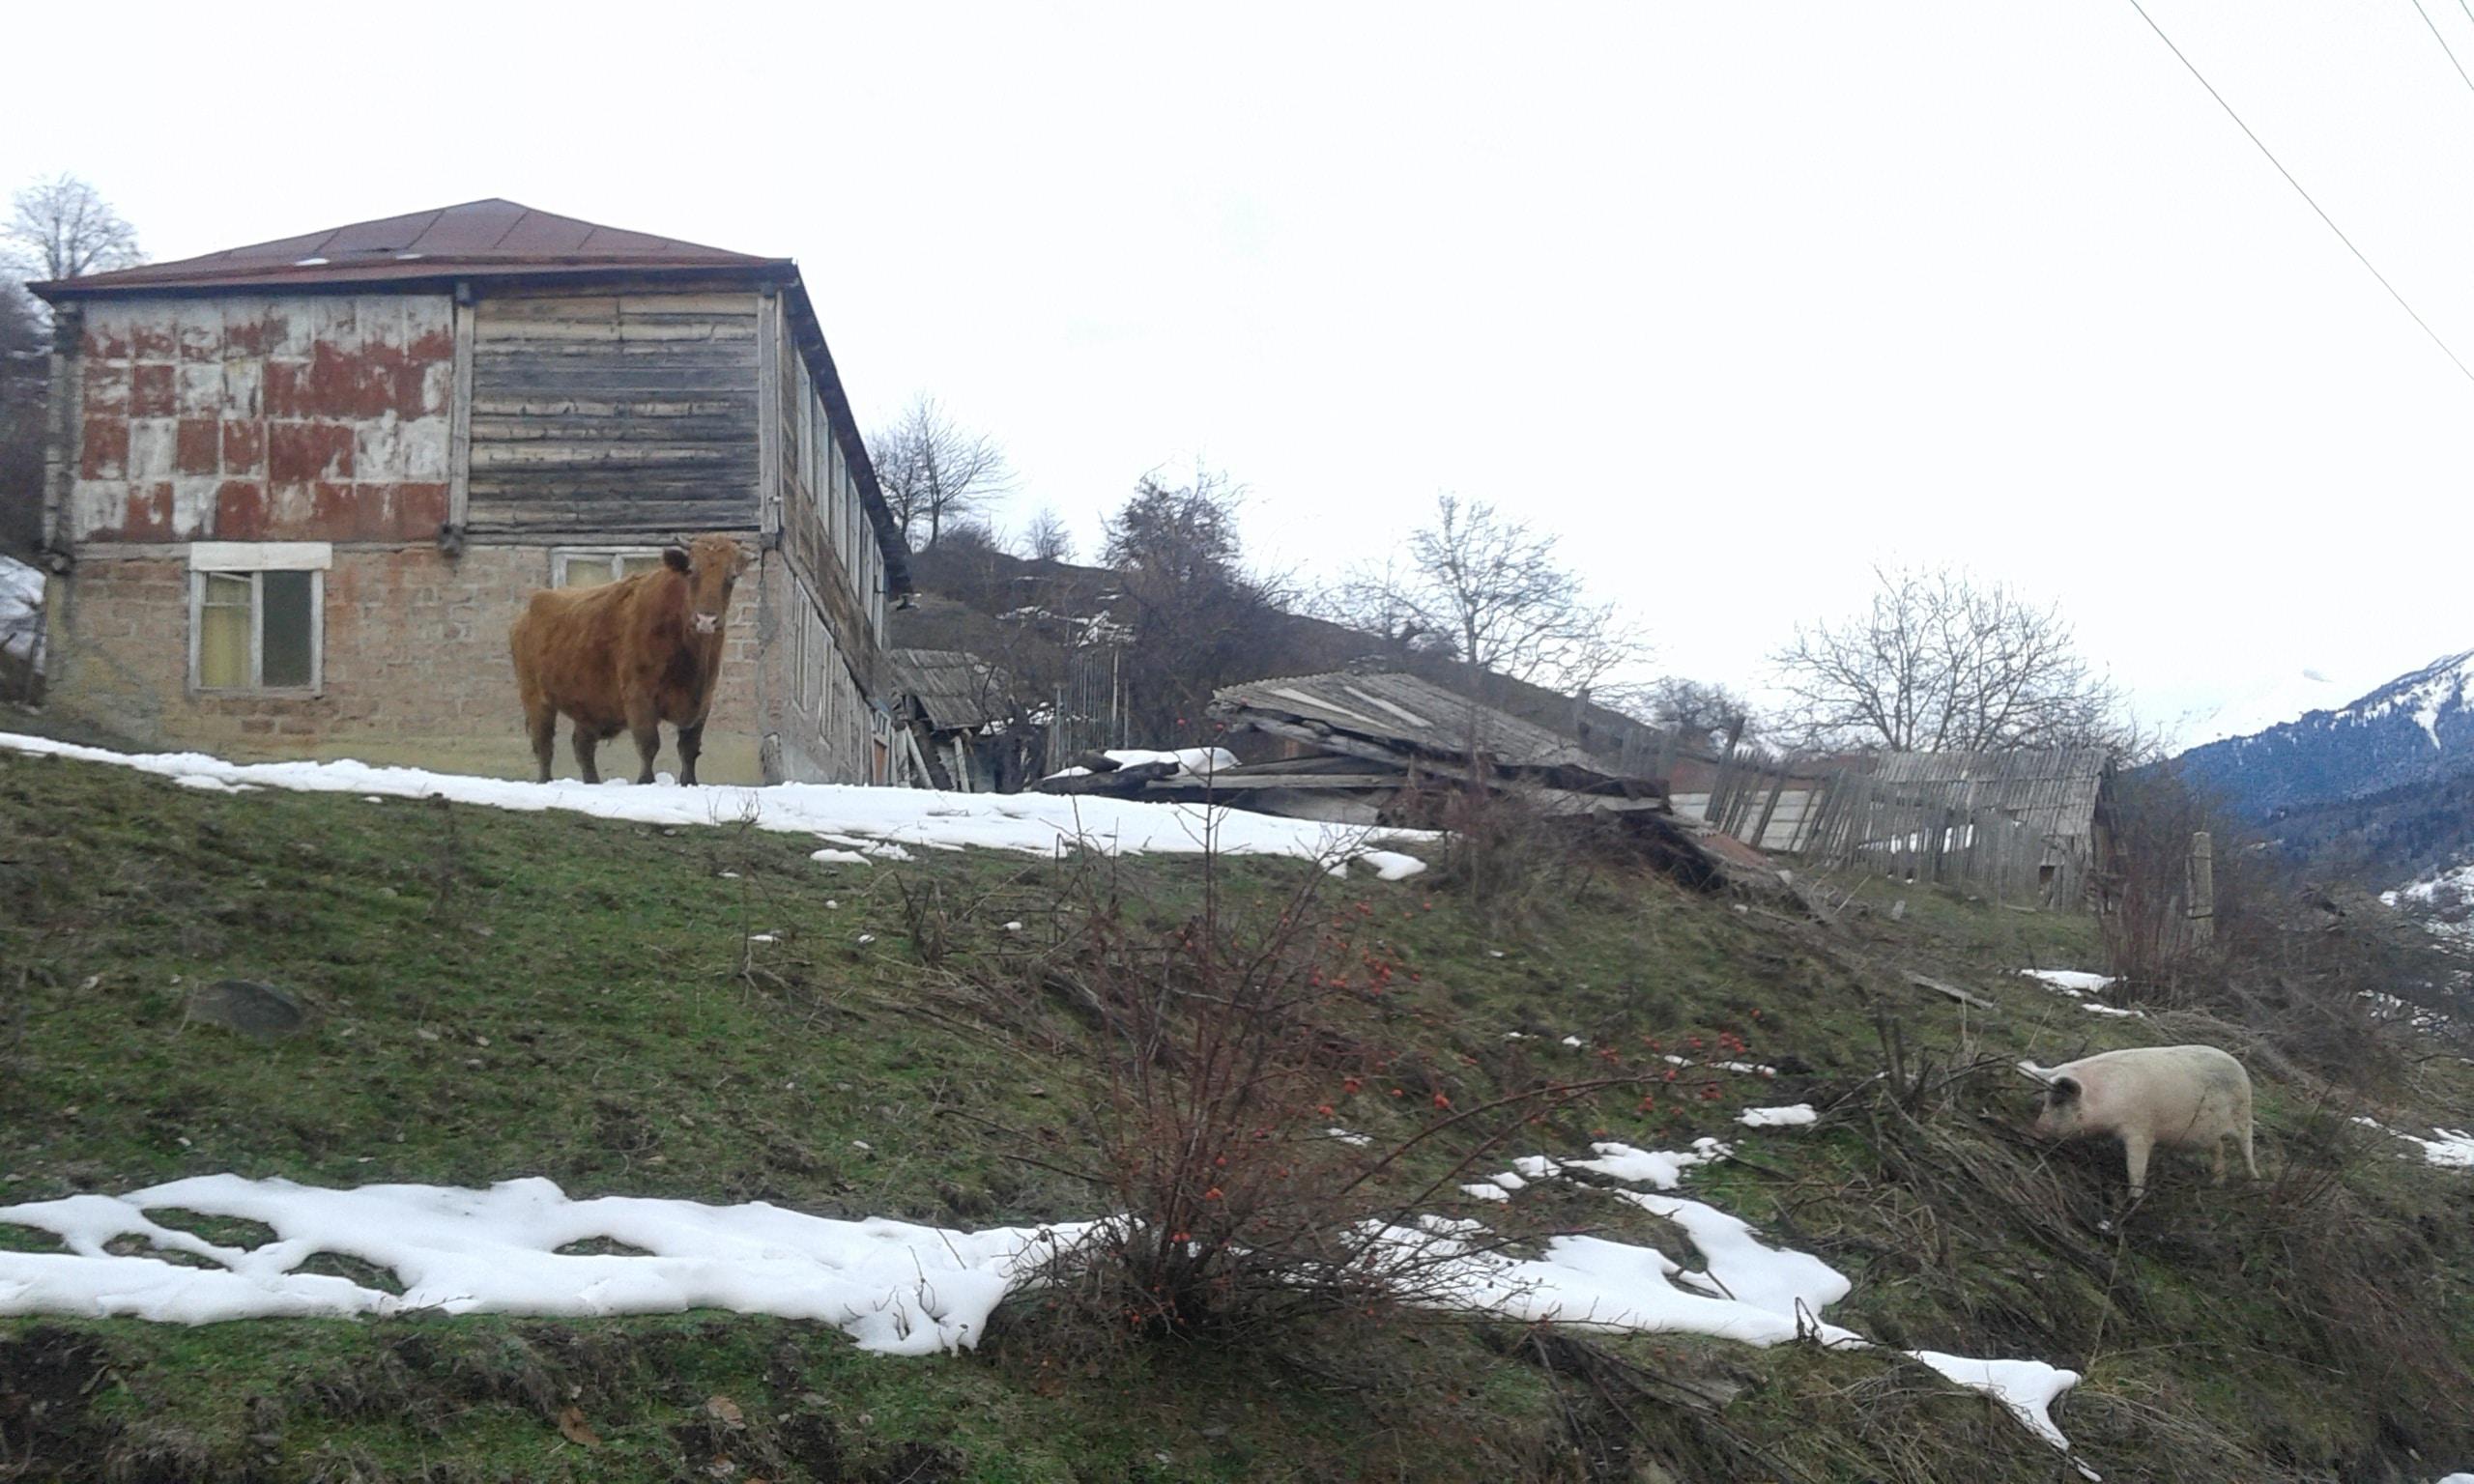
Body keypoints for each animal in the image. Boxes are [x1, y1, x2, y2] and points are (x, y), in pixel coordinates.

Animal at [509, 534, 754, 786]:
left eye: (732, 575)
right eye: (691, 570)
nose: (706, 619)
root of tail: (527, 613)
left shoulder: (703, 700)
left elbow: (689, 748)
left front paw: (689, 783)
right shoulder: (639, 696)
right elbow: (649, 744)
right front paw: (646, 781)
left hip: (586, 706)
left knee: (582, 747)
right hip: (536, 699)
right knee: (544, 746)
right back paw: (545, 781)